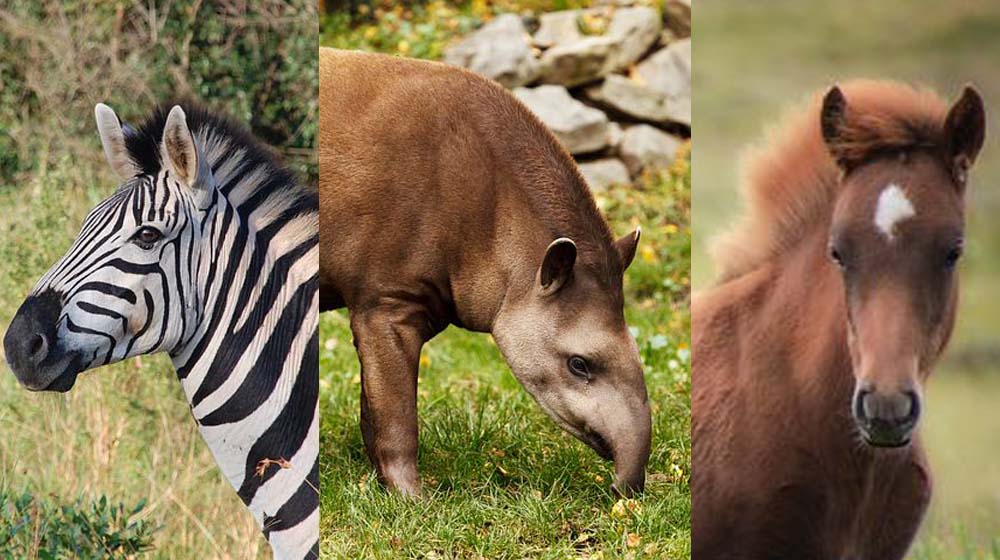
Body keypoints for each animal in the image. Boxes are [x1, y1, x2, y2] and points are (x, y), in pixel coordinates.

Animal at [318, 48, 651, 497]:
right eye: (579, 364)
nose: (625, 486)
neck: (492, 214)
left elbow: (373, 409)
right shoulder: (386, 300)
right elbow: (396, 415)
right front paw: (411, 498)